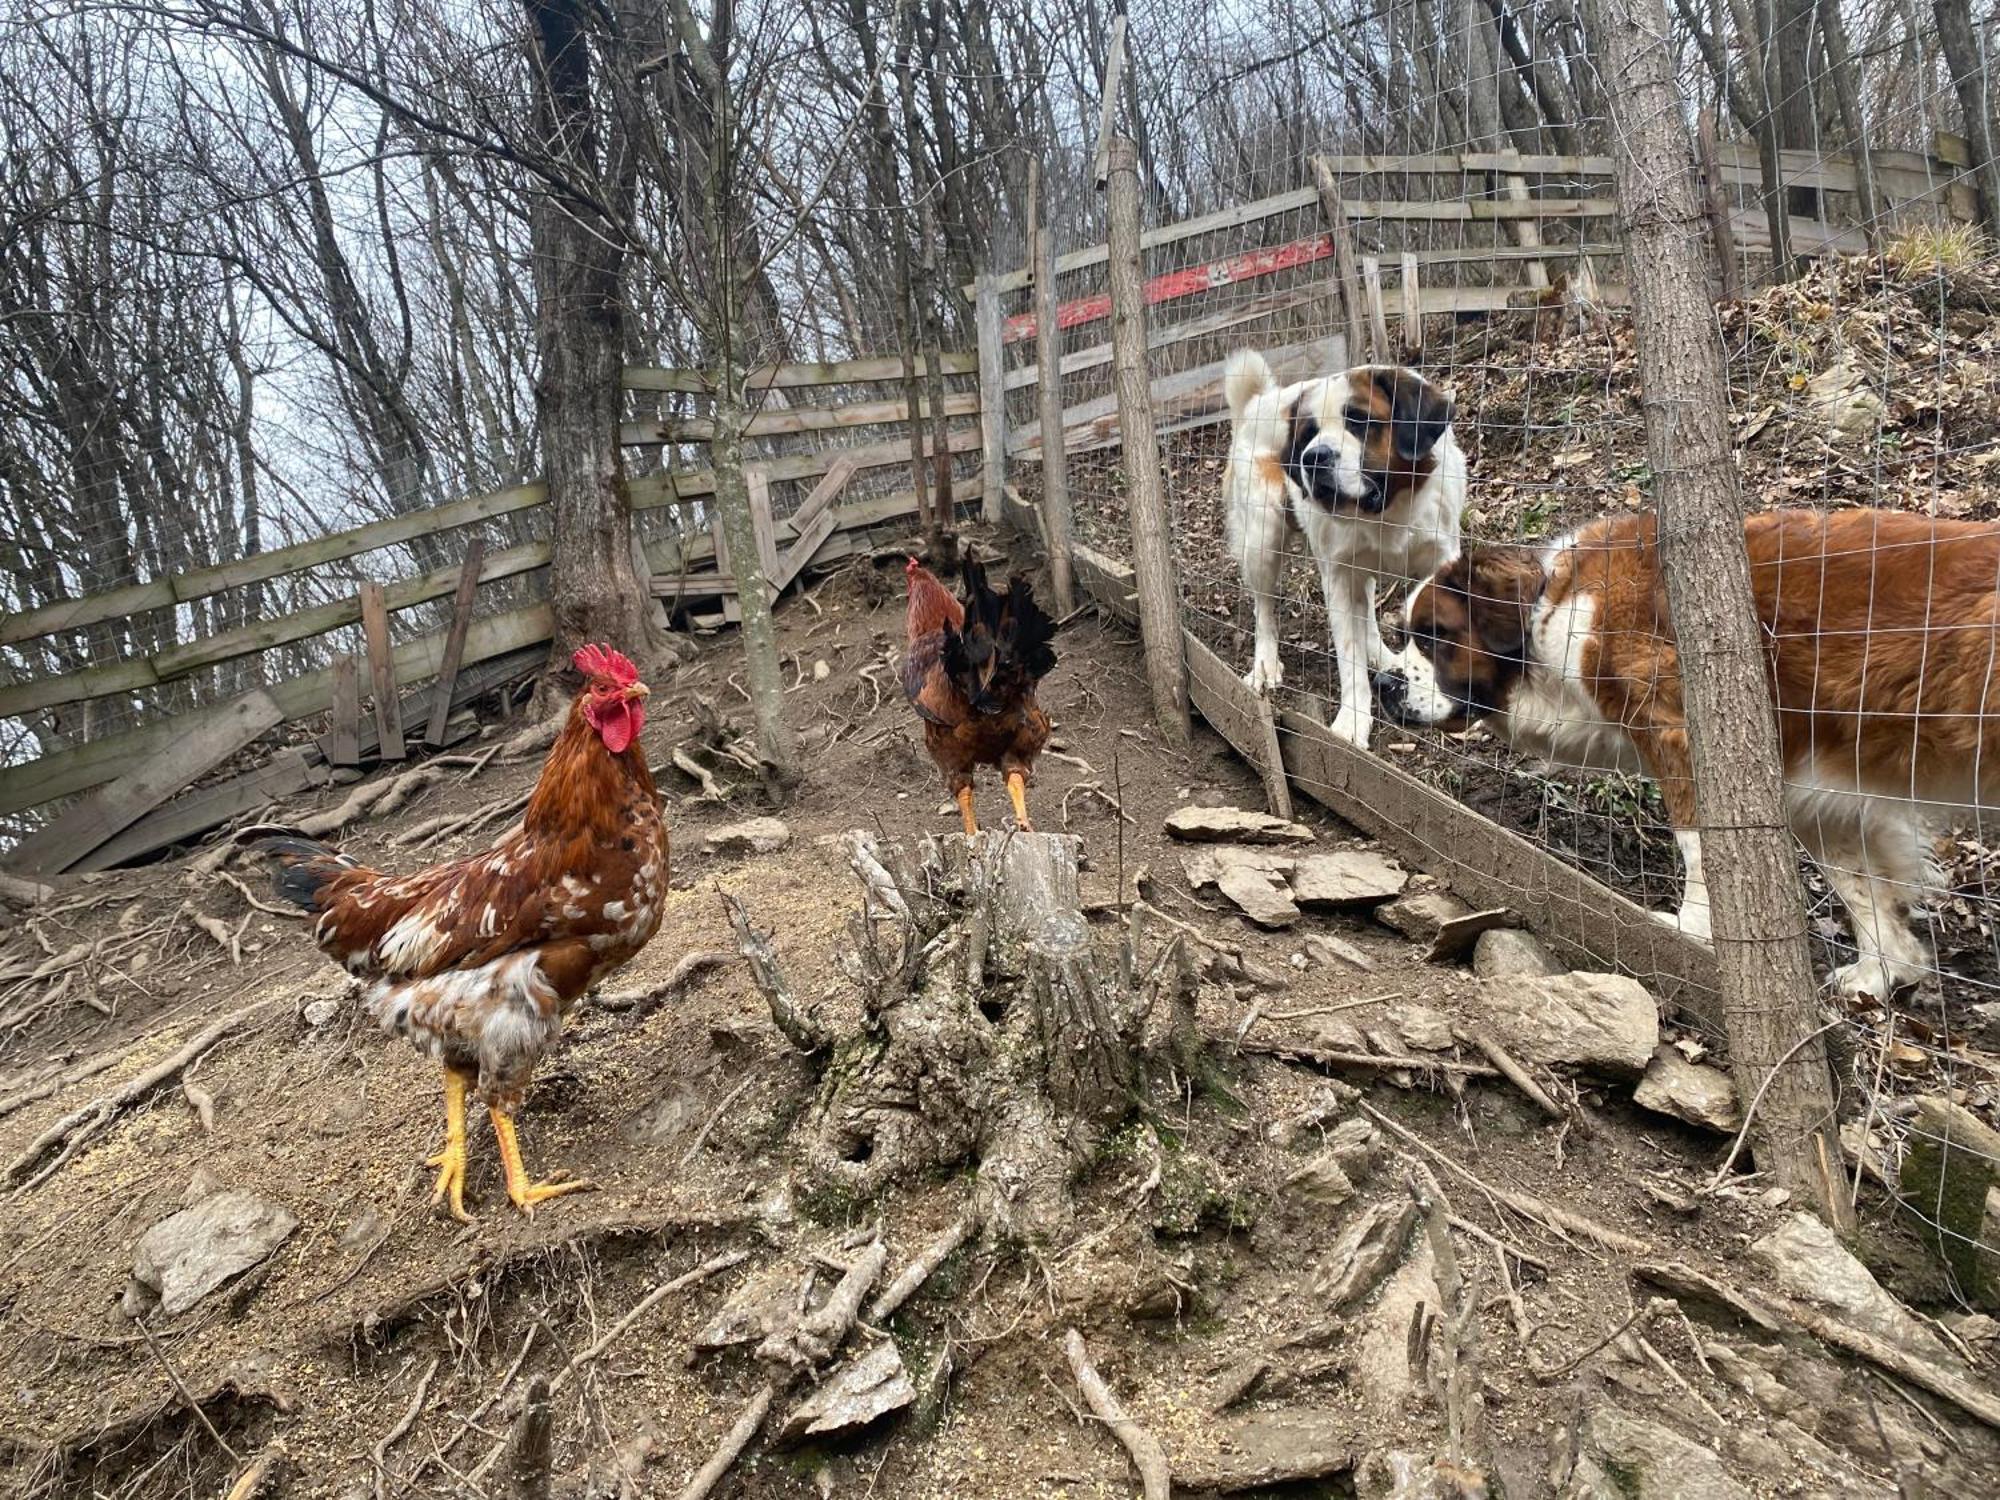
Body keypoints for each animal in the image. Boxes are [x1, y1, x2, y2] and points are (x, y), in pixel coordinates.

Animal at [1216, 352, 1472, 752]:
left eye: (1358, 421)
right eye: (1308, 434)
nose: (1313, 457)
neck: (1386, 512)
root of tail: (1257, 402)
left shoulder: (1440, 558)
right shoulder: (1336, 575)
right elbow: (1349, 661)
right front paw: (1351, 724)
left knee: (1365, 614)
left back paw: (1383, 658)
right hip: (1262, 539)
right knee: (1264, 608)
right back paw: (1265, 665)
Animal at [1384, 512, 2000, 1004]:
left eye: (1434, 637)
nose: (1384, 683)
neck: (1549, 612)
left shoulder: (1678, 735)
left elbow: (1701, 848)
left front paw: (1694, 932)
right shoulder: (1818, 787)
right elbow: (1864, 886)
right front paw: (1884, 971)